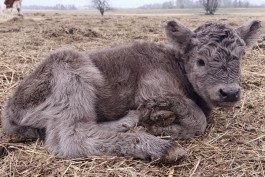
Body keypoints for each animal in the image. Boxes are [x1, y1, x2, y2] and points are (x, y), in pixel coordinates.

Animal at [1, 20, 258, 161]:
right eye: (201, 61)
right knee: (70, 136)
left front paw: (155, 117)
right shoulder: (153, 92)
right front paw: (163, 125)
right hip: (70, 70)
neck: (174, 63)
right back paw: (158, 146)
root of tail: (10, 110)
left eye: (242, 56)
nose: (230, 93)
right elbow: (197, 117)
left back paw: (130, 120)